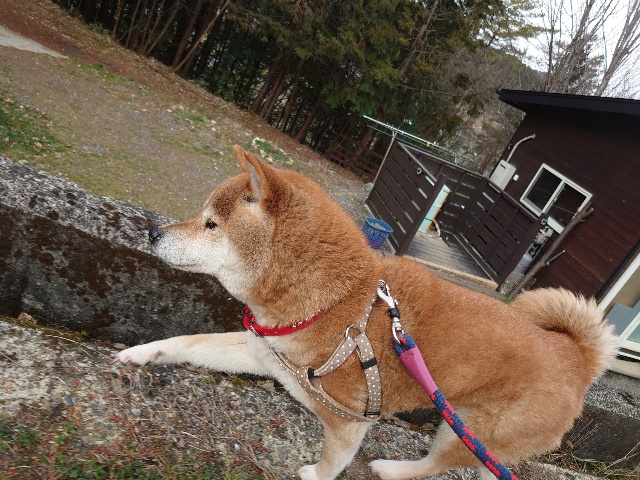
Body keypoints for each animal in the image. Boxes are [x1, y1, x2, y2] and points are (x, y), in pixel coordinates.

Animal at [117, 145, 616, 480]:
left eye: (211, 224)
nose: (152, 232)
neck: (333, 300)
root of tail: (578, 358)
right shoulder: (264, 353)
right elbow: (188, 342)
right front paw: (143, 352)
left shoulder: (348, 420)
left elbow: (332, 462)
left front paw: (313, 475)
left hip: (470, 432)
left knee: (435, 465)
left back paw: (393, 469)